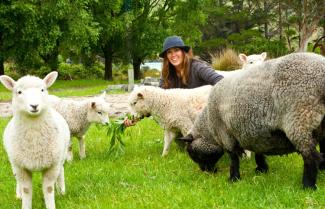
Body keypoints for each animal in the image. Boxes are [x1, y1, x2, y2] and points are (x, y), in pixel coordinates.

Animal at [0, 71, 69, 209]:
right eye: (19, 92)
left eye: (42, 90)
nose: (34, 105)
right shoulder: (21, 167)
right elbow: (26, 190)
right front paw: (25, 203)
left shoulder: (52, 165)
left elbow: (48, 189)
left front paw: (51, 205)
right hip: (14, 162)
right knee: (17, 180)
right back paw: (18, 195)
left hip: (61, 156)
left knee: (61, 170)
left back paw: (61, 191)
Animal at [178, 52, 324, 189]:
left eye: (193, 154)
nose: (205, 171)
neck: (209, 125)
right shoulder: (256, 133)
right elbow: (259, 153)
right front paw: (261, 169)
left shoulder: (225, 134)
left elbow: (233, 158)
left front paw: (233, 178)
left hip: (300, 118)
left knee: (310, 156)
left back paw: (308, 186)